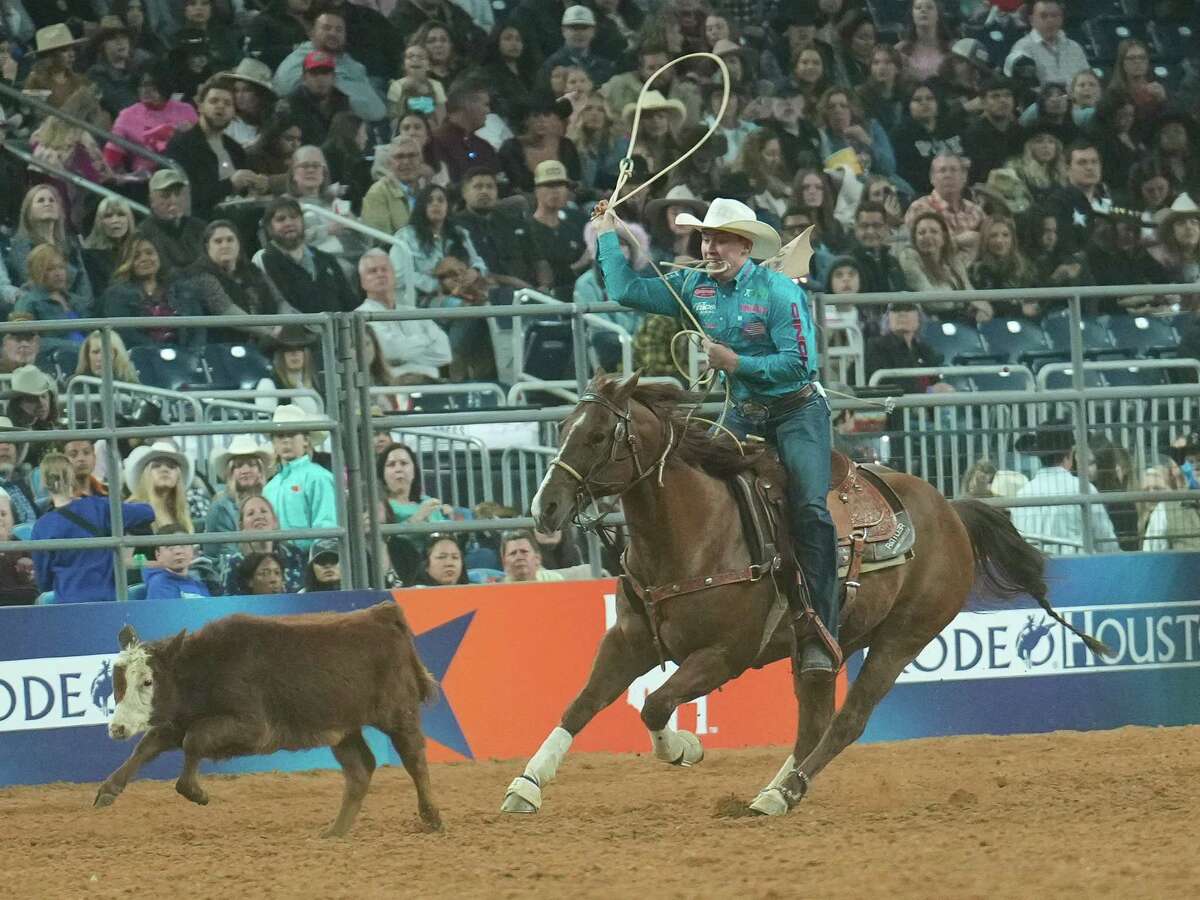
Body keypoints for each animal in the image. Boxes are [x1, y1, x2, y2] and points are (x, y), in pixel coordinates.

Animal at [94, 607, 441, 840]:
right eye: (117, 681)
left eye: (148, 681)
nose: (117, 728)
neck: (205, 667)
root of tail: (382, 615)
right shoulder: (177, 722)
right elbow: (147, 747)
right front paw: (108, 790)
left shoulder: (255, 728)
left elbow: (195, 740)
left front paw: (195, 791)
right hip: (343, 730)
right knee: (360, 770)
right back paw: (335, 832)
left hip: (399, 714)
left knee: (414, 759)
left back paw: (432, 816)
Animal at [499, 372, 1104, 816]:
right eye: (563, 427)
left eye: (599, 435)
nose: (545, 508)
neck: (693, 533)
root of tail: (951, 511)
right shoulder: (628, 640)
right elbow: (582, 704)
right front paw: (527, 785)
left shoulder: (724, 655)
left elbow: (655, 704)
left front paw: (685, 749)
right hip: (823, 645)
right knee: (813, 721)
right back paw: (773, 792)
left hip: (902, 639)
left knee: (846, 722)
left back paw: (784, 793)